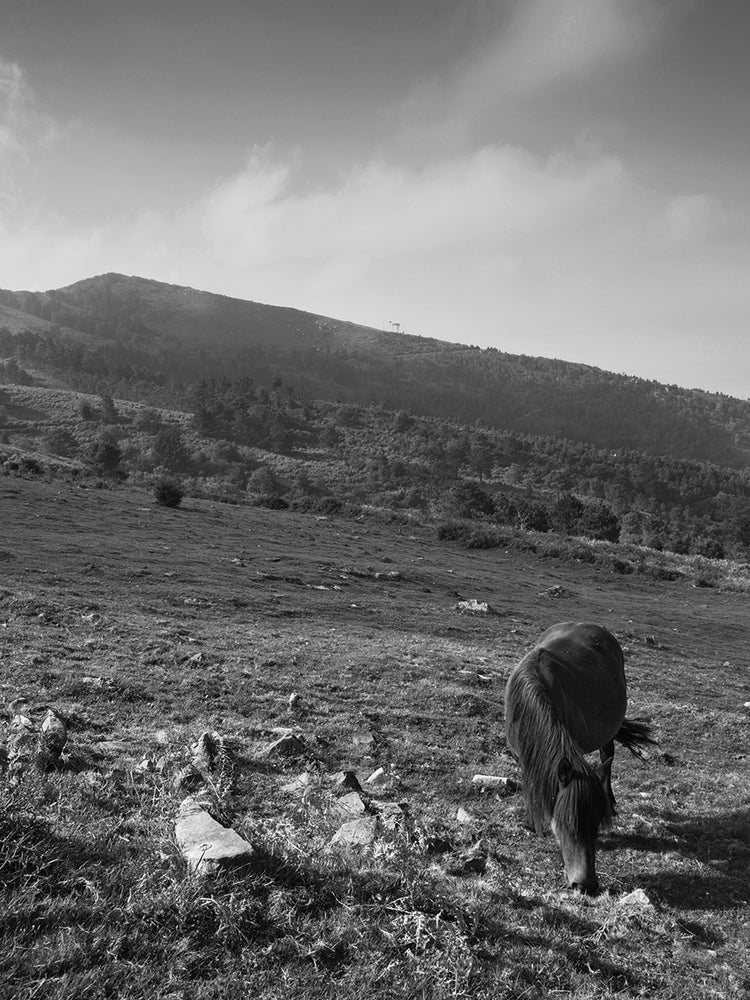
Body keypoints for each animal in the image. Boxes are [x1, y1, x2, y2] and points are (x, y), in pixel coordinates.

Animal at [504, 621, 655, 894]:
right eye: (566, 823)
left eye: (596, 824)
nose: (585, 885)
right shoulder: (522, 756)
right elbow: (532, 784)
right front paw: (533, 822)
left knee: (607, 759)